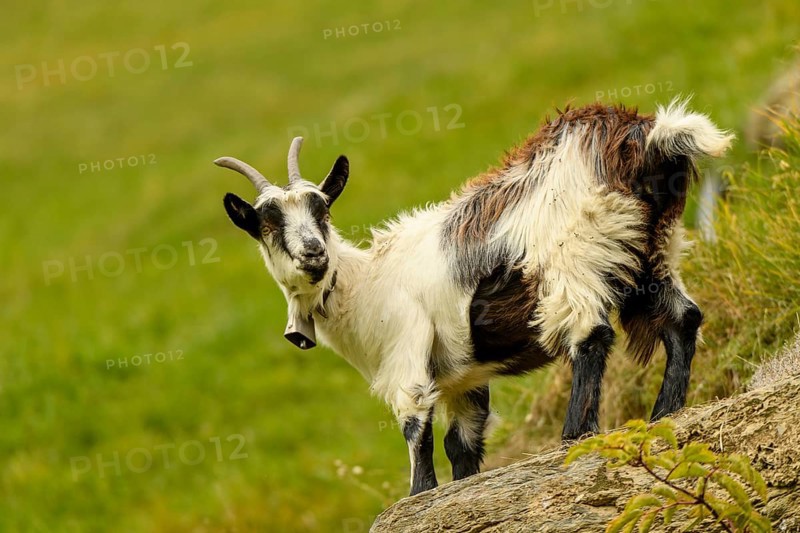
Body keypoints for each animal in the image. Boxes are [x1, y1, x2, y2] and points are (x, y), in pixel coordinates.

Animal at [217, 99, 733, 496]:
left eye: (322, 209)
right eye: (266, 224)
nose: (313, 253)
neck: (365, 286)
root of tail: (644, 137)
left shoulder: (407, 355)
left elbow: (416, 429)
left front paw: (419, 494)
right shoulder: (464, 380)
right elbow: (461, 444)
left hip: (574, 254)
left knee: (591, 335)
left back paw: (575, 435)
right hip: (654, 252)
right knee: (683, 319)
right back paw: (666, 412)